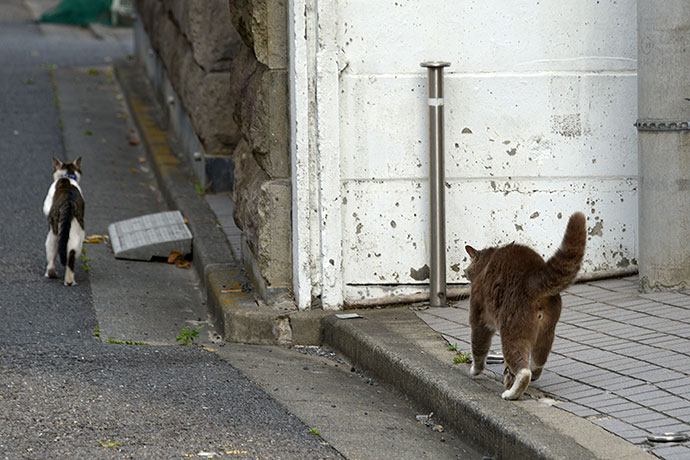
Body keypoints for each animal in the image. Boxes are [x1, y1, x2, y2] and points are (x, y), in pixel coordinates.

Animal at [462, 212, 584, 398]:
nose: (465, 272)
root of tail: (531, 277)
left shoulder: (479, 318)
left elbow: (479, 347)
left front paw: (475, 370)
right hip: (547, 331)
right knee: (539, 360)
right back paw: (531, 374)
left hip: (512, 330)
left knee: (522, 369)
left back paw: (511, 393)